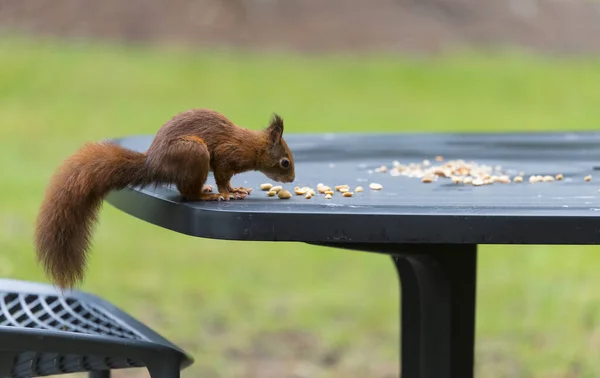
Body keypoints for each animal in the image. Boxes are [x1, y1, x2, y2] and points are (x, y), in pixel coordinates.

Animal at [34, 108, 296, 288]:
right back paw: (207, 196)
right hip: (194, 152)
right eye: (285, 162)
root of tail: (154, 165)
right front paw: (227, 193)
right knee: (187, 193)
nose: (292, 178)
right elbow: (223, 178)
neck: (252, 147)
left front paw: (236, 190)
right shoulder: (225, 156)